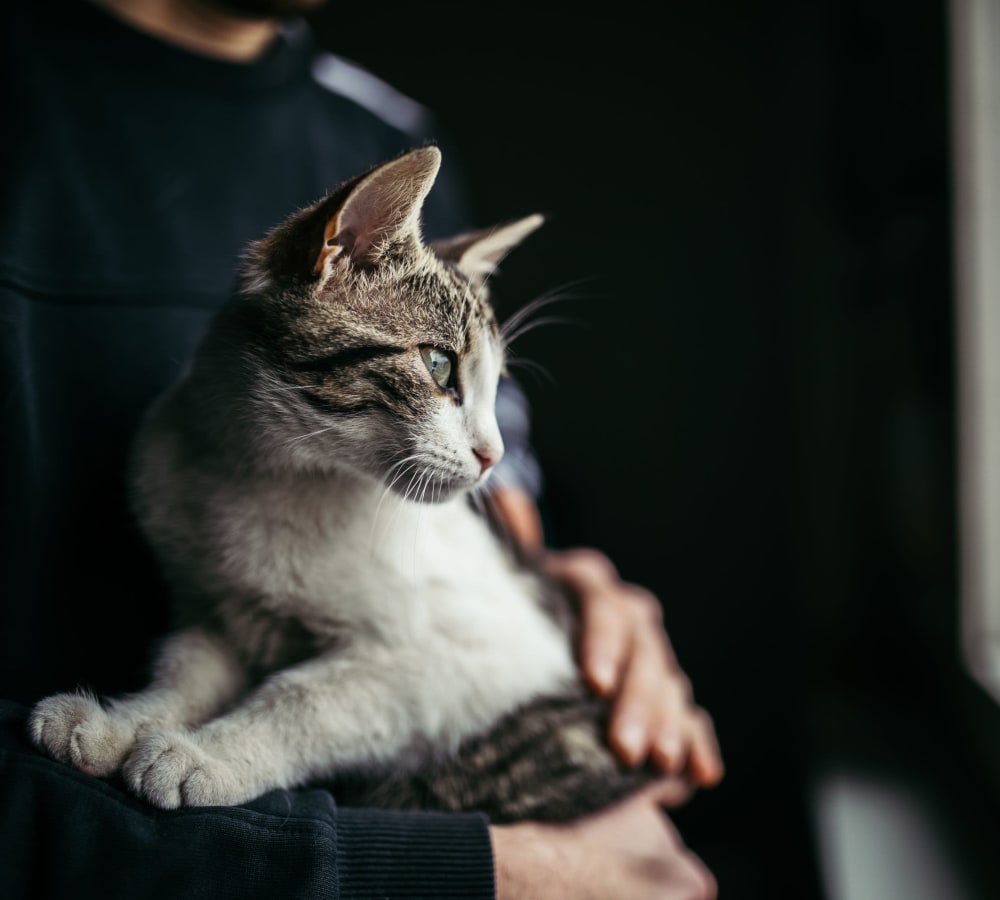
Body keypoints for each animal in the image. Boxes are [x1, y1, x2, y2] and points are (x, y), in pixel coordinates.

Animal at [27, 146, 660, 824]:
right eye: (439, 365)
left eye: (496, 387)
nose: (494, 455)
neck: (269, 479)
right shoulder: (217, 610)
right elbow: (185, 669)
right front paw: (119, 723)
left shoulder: (472, 660)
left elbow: (308, 698)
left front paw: (207, 757)